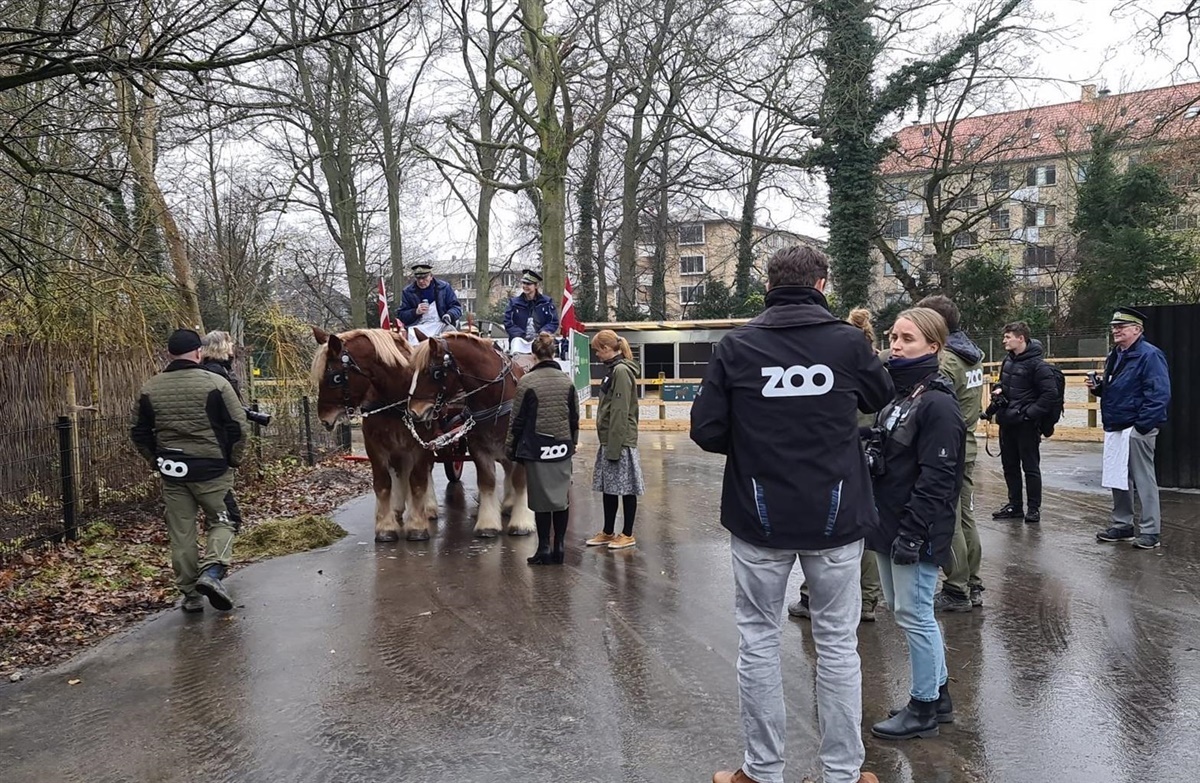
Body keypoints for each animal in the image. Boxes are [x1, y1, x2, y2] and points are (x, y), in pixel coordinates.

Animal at [309, 327, 439, 542]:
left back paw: (427, 508)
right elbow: (382, 483)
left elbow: (418, 481)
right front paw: (385, 526)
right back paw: (397, 508)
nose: (324, 419)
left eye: (336, 378)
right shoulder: (375, 445)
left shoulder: (421, 445)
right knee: (399, 472)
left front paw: (417, 525)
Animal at [405, 333, 534, 538]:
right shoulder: (479, 447)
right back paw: (508, 503)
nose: (414, 412)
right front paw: (488, 525)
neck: (496, 397)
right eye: (412, 371)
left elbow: (521, 481)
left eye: (435, 373)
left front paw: (522, 523)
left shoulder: (519, 446)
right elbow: (487, 481)